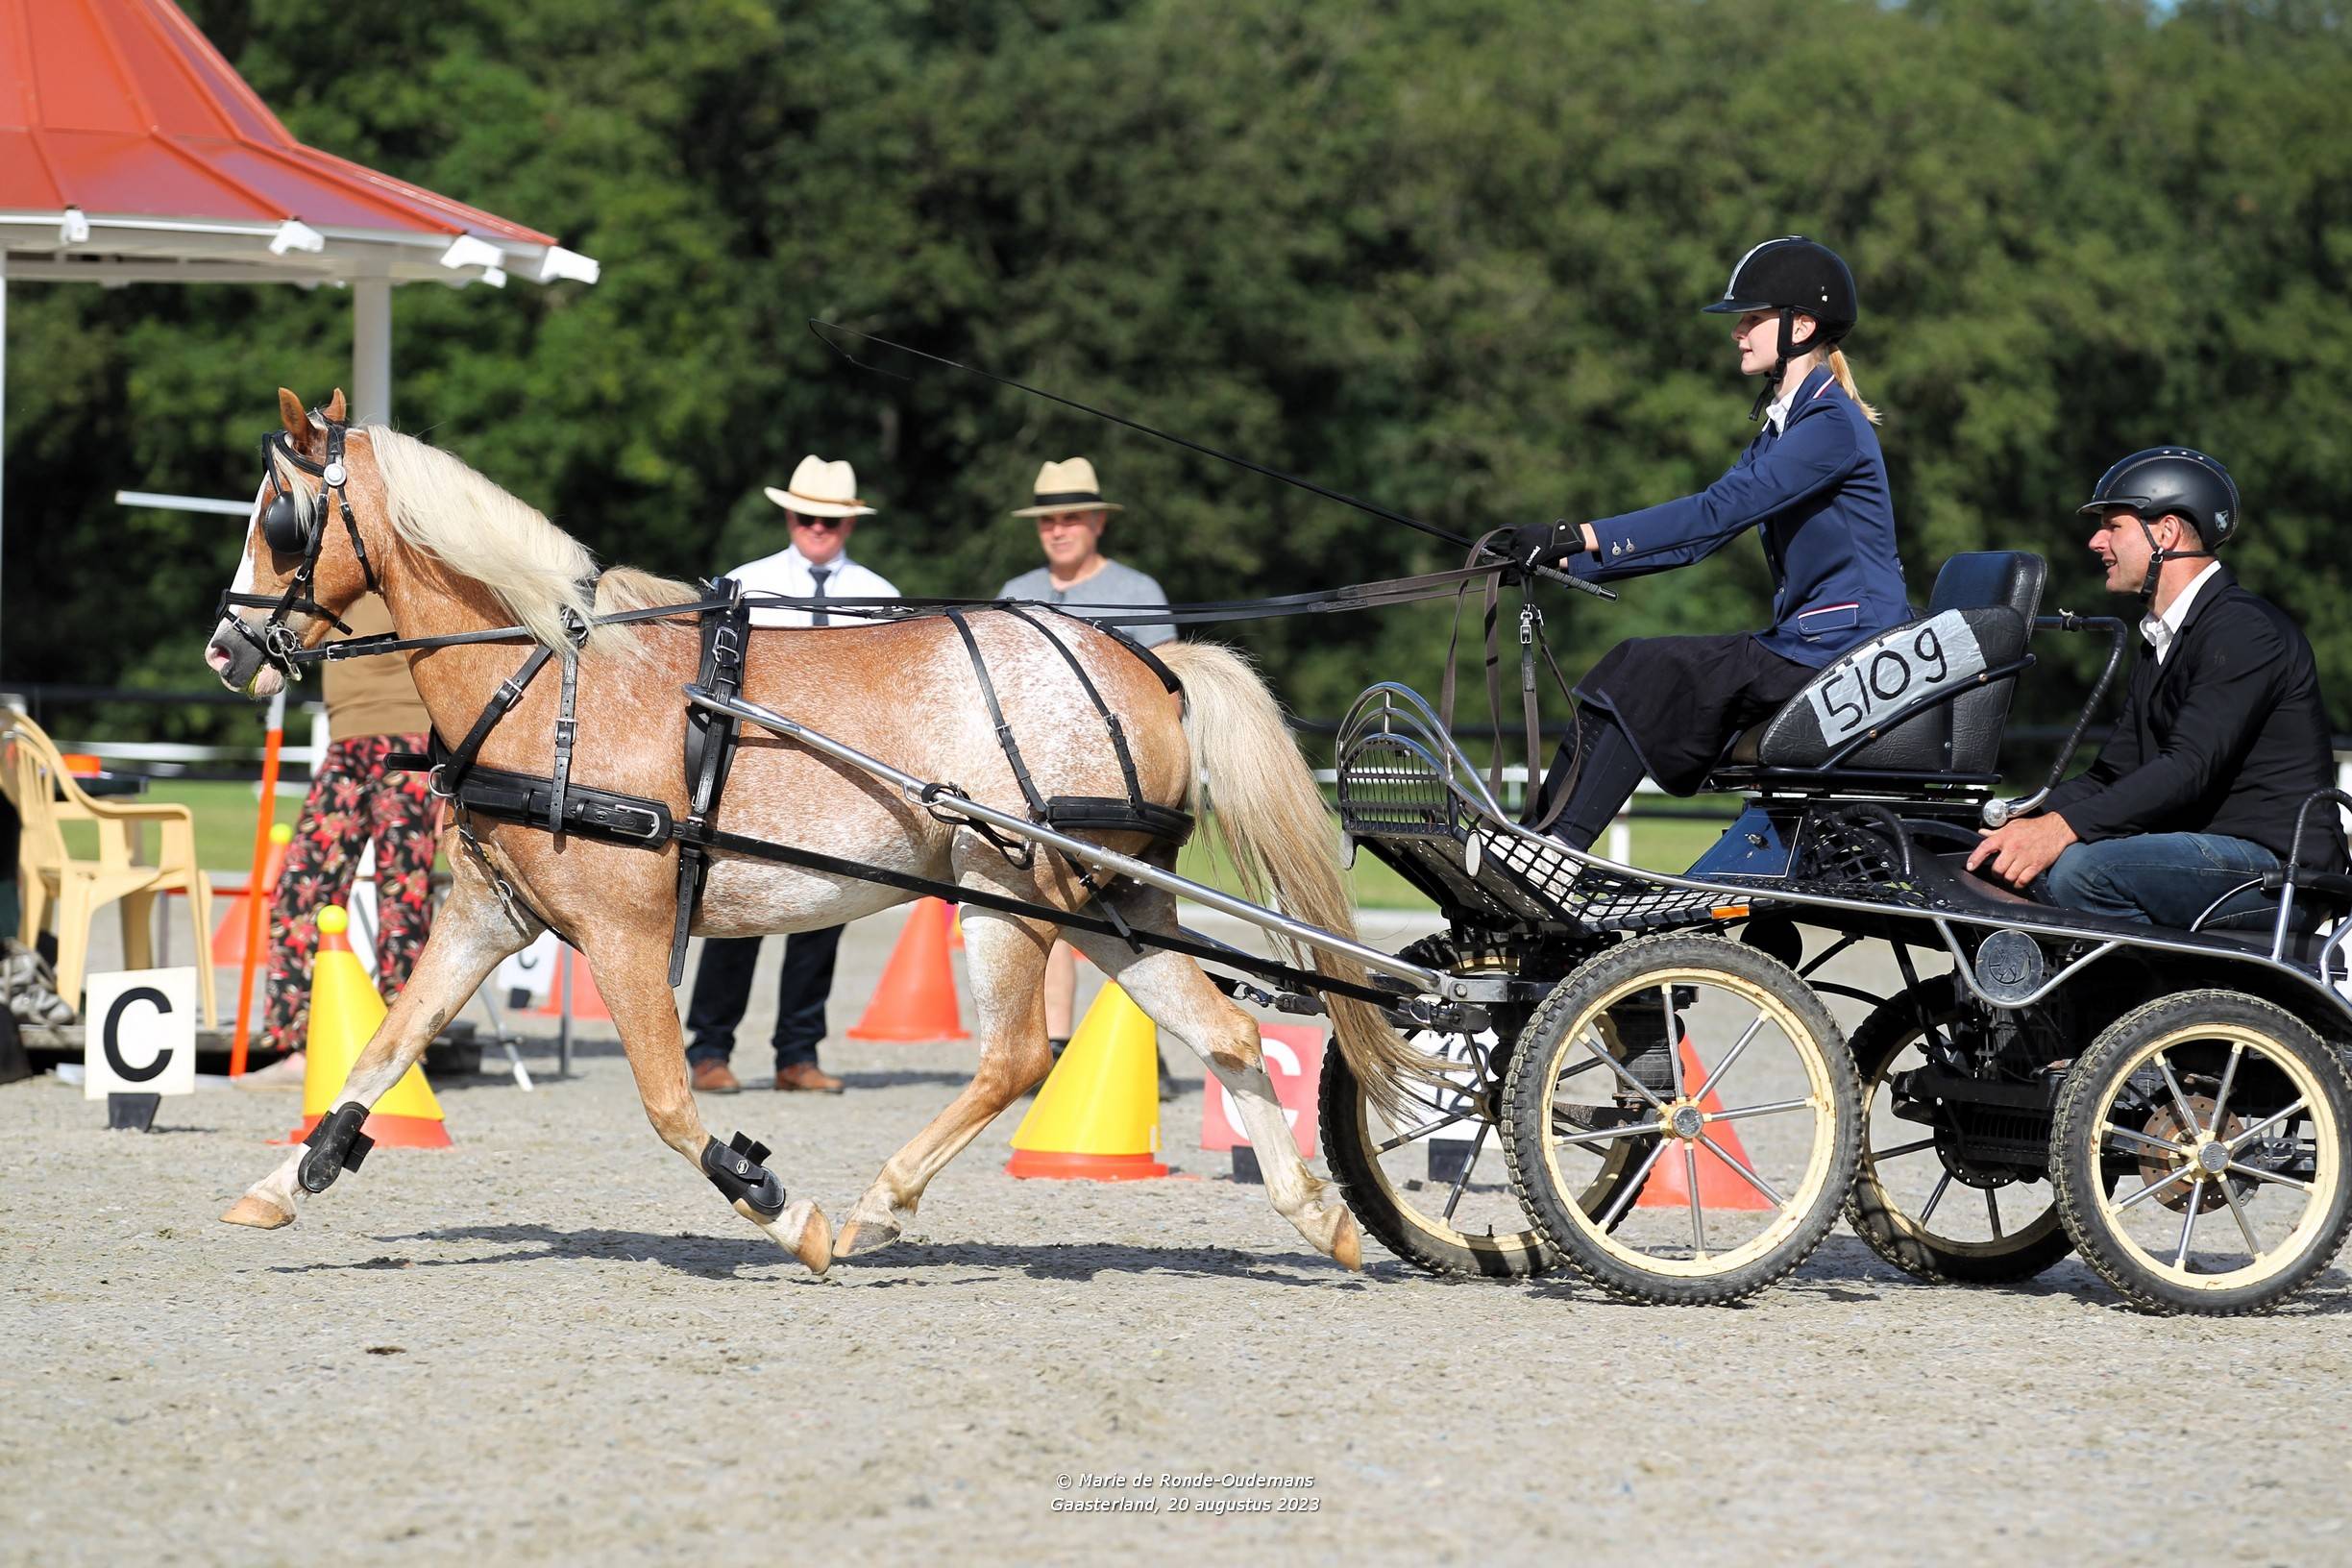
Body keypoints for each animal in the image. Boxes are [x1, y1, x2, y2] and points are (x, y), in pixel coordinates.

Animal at [205, 389, 1432, 1275]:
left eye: (279, 517)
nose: (225, 649)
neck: (553, 675)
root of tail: (1155, 664)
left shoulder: (627, 939)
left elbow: (667, 1102)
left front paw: (778, 1207)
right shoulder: (488, 917)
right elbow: (384, 1044)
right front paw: (283, 1182)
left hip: (1011, 896)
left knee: (1016, 1059)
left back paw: (878, 1208)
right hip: (1110, 903)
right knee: (1224, 1033)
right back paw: (1316, 1215)